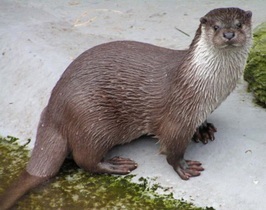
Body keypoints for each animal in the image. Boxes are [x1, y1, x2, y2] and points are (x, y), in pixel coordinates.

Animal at [0, 7, 252, 209]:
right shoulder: (178, 116)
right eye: (216, 26)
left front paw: (203, 128)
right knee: (84, 158)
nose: (229, 34)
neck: (208, 86)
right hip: (93, 120)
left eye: (239, 24)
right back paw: (115, 164)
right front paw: (183, 166)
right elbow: (171, 147)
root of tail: (53, 110)